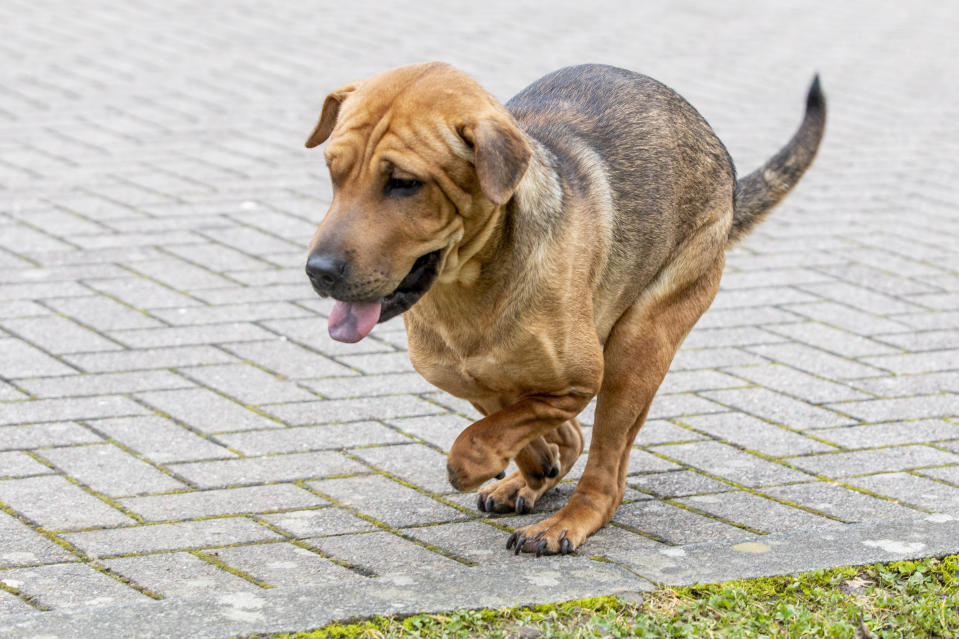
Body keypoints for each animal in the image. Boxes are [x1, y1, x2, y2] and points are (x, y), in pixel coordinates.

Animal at [306, 63, 824, 556]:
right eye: (333, 173)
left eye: (405, 184)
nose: (319, 271)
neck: (469, 285)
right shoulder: (468, 377)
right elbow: (515, 422)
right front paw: (532, 464)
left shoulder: (581, 379)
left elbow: (486, 434)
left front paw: (476, 463)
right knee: (569, 436)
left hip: (637, 347)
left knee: (606, 478)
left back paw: (564, 523)